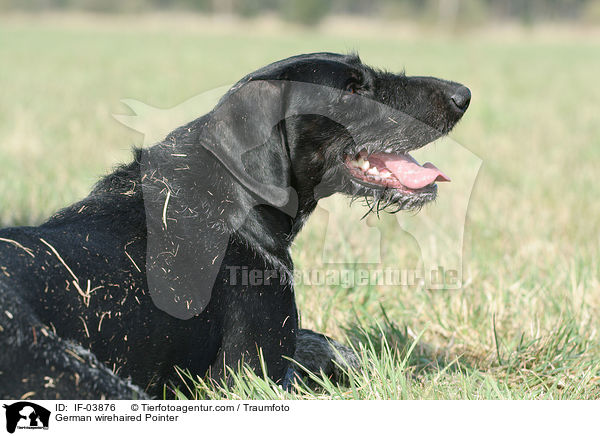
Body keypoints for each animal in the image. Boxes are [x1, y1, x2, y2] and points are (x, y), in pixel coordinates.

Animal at [0, 52, 468, 398]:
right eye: (353, 89)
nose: (462, 94)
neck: (237, 194)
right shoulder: (249, 378)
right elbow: (313, 351)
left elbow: (318, 340)